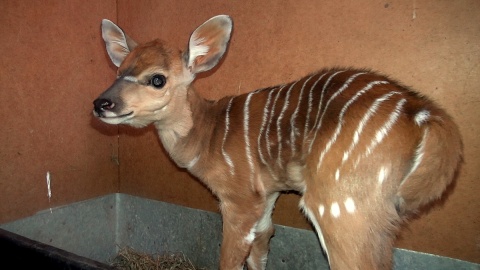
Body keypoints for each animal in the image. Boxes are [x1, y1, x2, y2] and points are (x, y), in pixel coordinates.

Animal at [92, 15, 464, 270]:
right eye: (118, 71)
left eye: (157, 79)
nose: (102, 103)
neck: (206, 137)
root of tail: (423, 114)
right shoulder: (267, 197)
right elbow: (262, 246)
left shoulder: (239, 200)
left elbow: (231, 258)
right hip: (377, 214)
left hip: (340, 204)